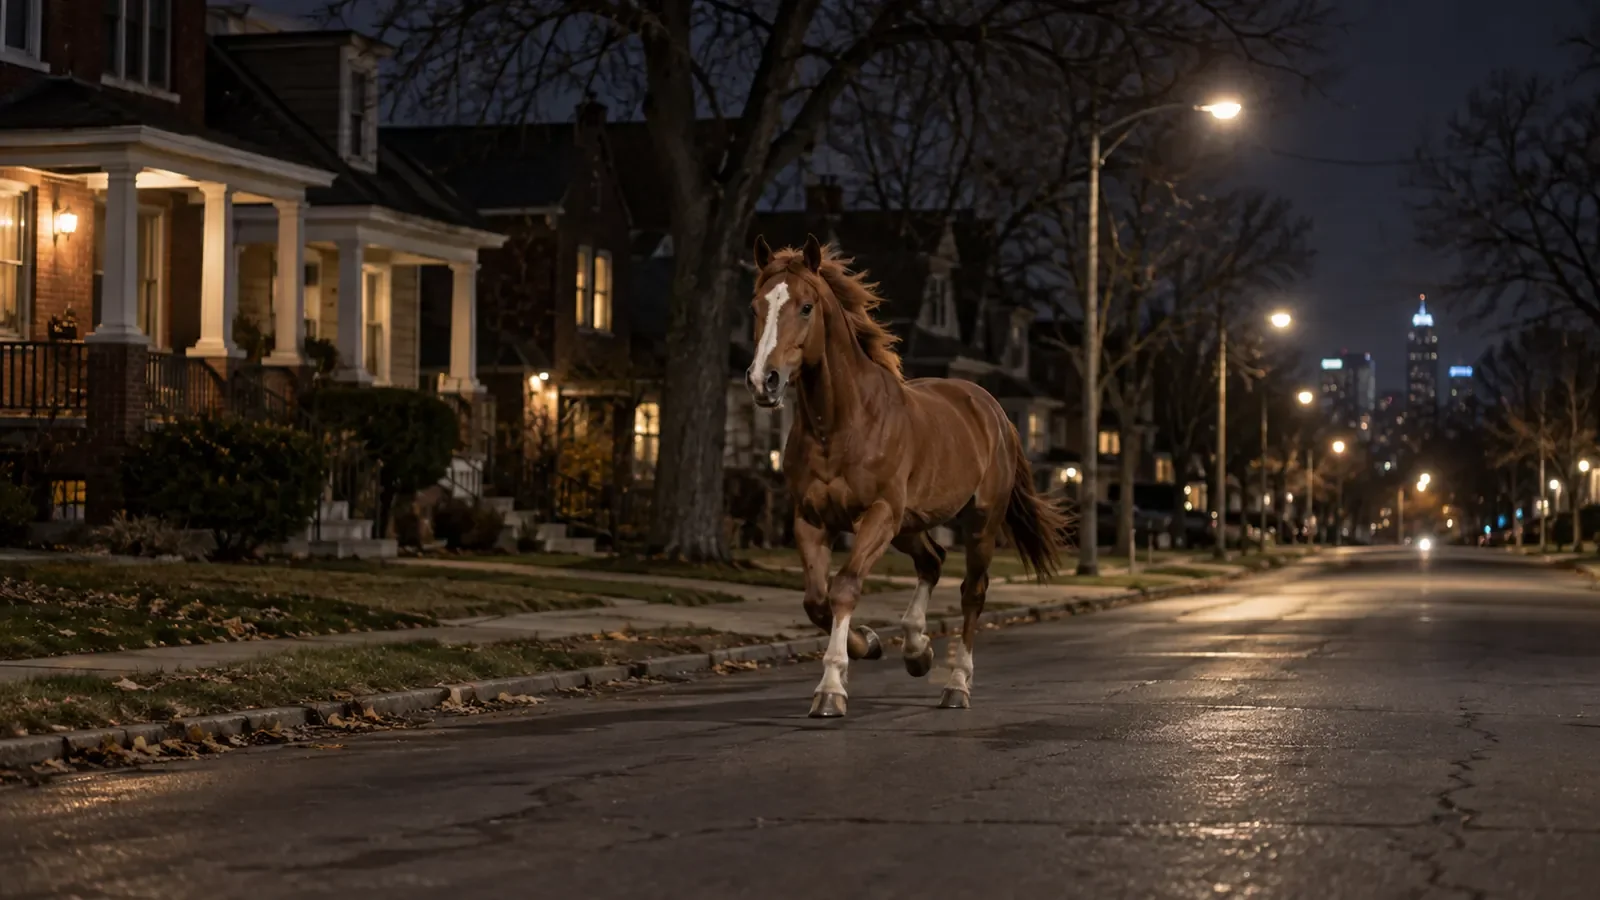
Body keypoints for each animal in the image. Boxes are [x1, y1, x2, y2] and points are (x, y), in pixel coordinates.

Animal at [744, 233, 1071, 718]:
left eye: (805, 306)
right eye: (756, 306)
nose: (763, 381)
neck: (841, 424)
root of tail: (993, 409)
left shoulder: (878, 513)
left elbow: (844, 587)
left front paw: (831, 690)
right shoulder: (811, 519)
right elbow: (816, 600)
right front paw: (869, 644)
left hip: (978, 522)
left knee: (972, 591)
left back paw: (956, 685)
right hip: (910, 525)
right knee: (932, 560)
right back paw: (918, 651)